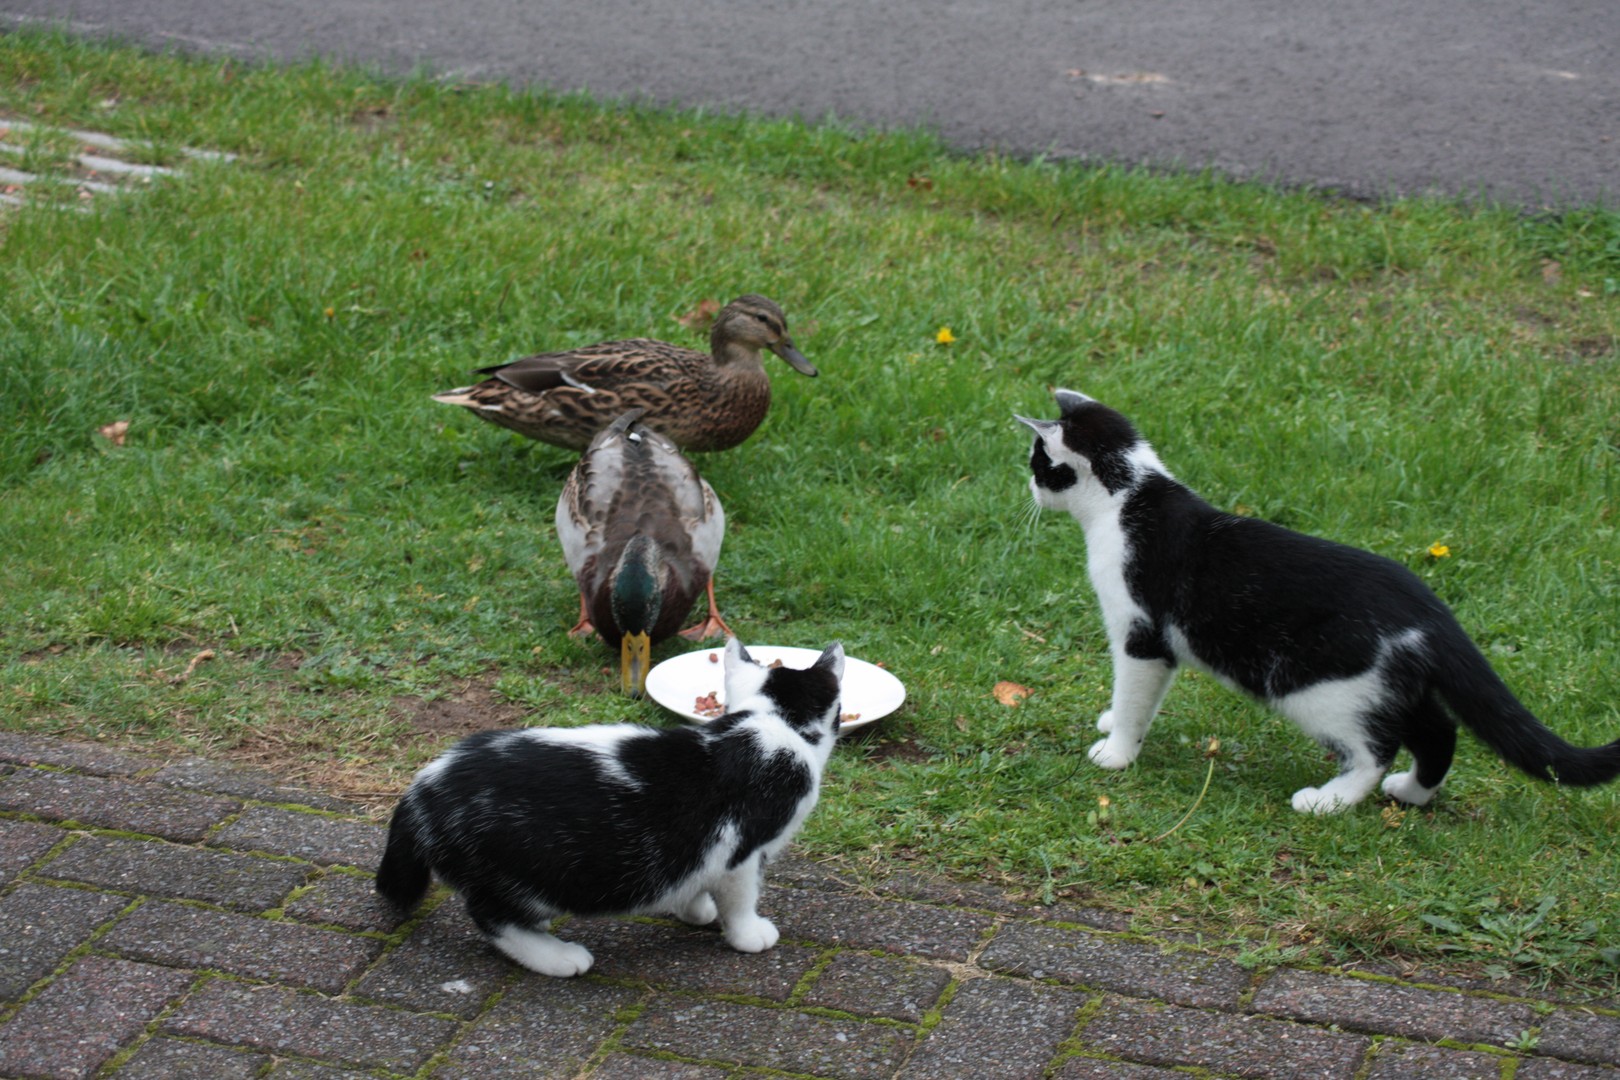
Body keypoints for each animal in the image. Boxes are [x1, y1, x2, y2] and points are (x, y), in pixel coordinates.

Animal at [372, 637, 842, 977]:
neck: (772, 722)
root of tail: (423, 789)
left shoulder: (700, 847)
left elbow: (692, 879)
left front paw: (695, 910)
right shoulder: (743, 848)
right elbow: (741, 897)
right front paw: (747, 933)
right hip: (526, 866)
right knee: (493, 917)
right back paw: (557, 958)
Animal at [1010, 383, 1620, 816]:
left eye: (1039, 462)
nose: (1029, 488)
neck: (1128, 498)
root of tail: (1431, 613)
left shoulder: (1141, 635)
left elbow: (1136, 692)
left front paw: (1117, 752)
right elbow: (1143, 698)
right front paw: (1114, 723)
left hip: (1318, 685)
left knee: (1377, 748)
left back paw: (1328, 800)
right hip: (1381, 680)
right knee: (1438, 731)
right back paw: (1411, 792)